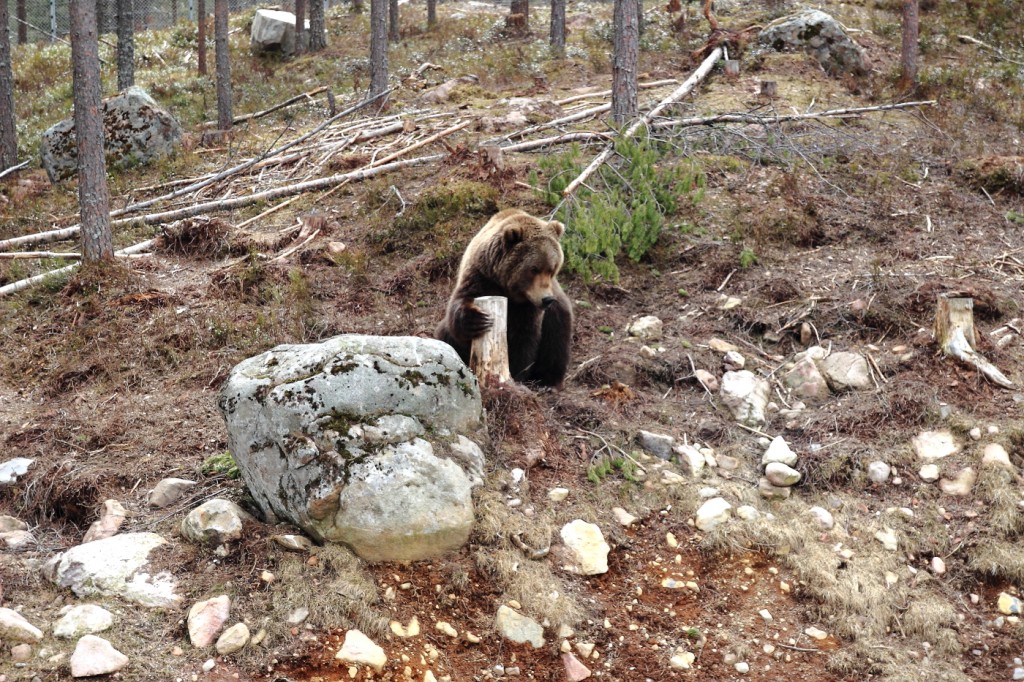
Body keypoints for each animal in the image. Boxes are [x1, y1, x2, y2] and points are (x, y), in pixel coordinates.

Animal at [436, 206, 573, 387]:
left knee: (556, 339)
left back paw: (547, 380)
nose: (547, 299)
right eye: (534, 269)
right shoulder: (481, 276)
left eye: (552, 269)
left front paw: (515, 375)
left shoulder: (528, 307)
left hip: (557, 315)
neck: (508, 289)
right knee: (445, 335)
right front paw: (479, 320)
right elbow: (461, 307)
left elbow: (523, 338)